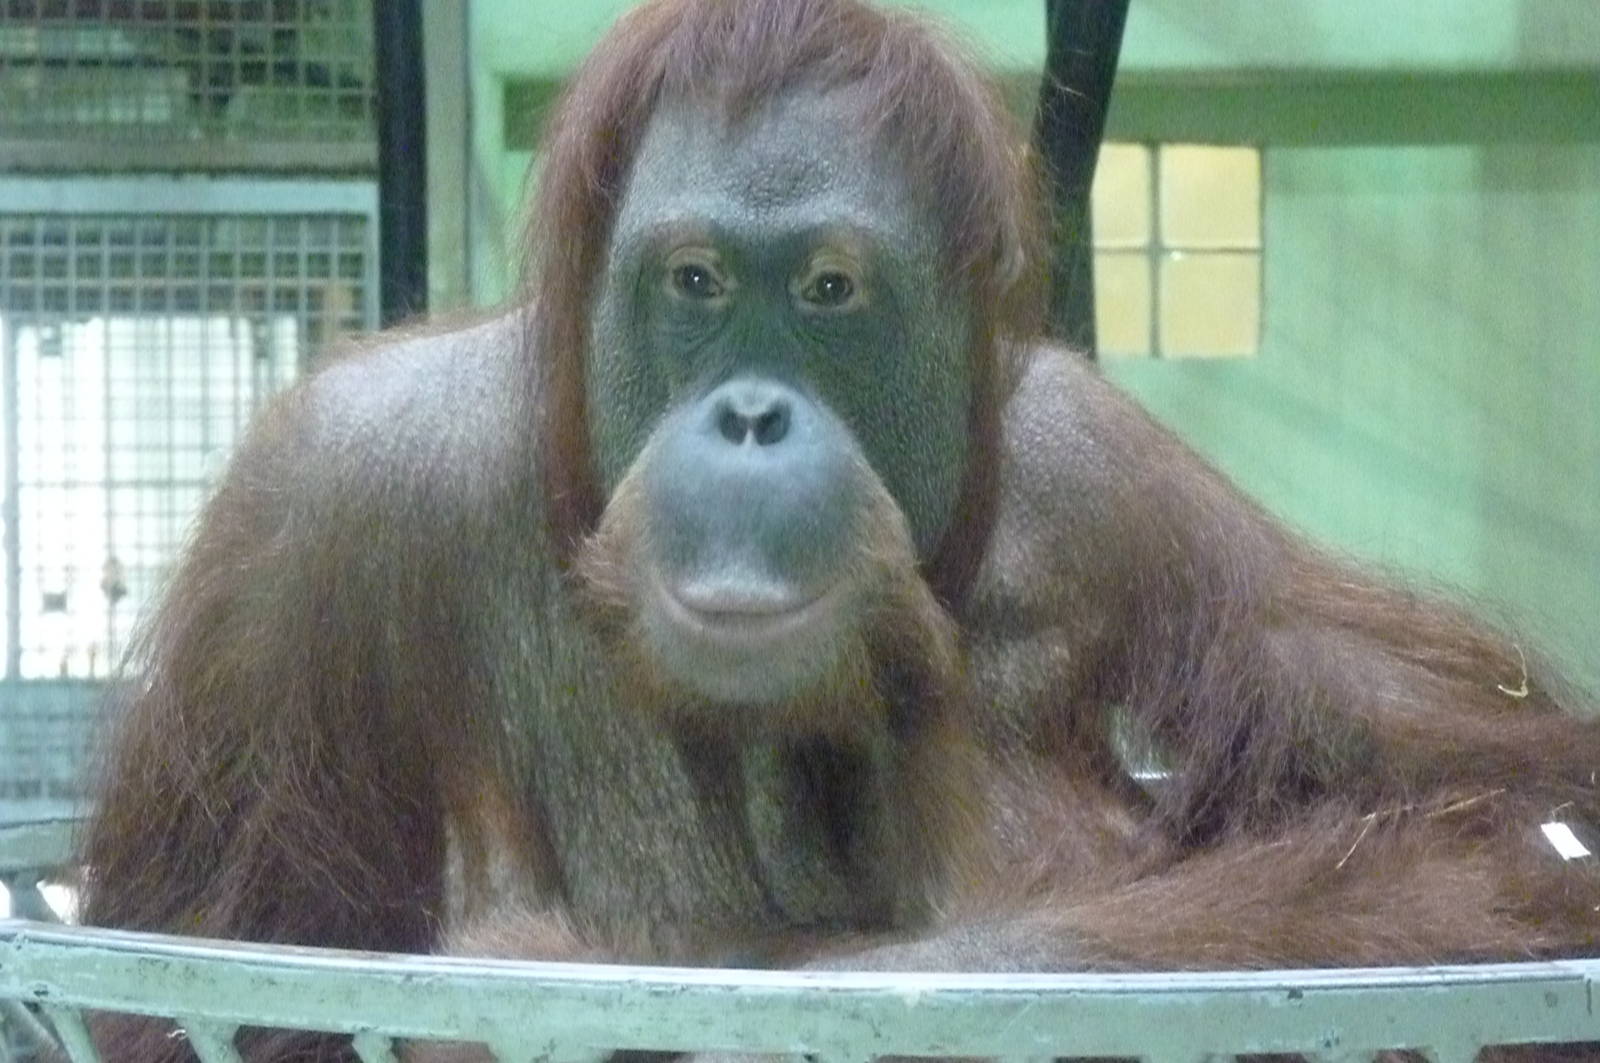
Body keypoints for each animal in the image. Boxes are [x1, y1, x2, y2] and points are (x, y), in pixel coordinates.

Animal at [76, 1, 1600, 1060]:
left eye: (827, 289)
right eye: (696, 280)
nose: (754, 413)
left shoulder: (1121, 485)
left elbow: (1516, 803)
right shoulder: (320, 491)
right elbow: (209, 969)